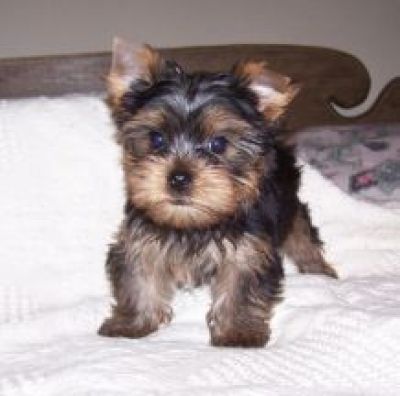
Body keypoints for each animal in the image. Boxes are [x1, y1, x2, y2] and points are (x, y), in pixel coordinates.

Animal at [98, 37, 336, 346]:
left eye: (219, 144)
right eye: (156, 138)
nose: (178, 177)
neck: (194, 224)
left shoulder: (249, 248)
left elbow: (240, 287)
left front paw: (238, 331)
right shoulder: (140, 239)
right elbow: (138, 278)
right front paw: (130, 323)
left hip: (289, 201)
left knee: (302, 233)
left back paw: (319, 269)